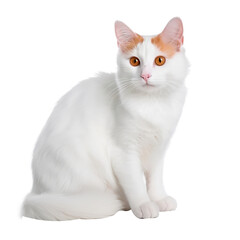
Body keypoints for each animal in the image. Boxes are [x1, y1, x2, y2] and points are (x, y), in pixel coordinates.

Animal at [21, 16, 188, 219]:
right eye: (134, 61)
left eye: (160, 60)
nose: (145, 75)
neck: (152, 103)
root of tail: (36, 192)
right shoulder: (123, 152)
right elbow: (136, 183)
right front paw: (144, 205)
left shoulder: (159, 148)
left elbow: (155, 179)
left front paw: (159, 199)